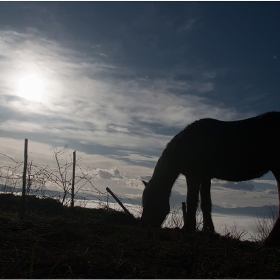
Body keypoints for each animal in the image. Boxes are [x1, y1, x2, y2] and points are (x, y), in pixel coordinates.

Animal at [141, 111, 280, 245]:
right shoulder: (205, 177)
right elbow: (206, 204)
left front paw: (189, 229)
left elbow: (191, 201)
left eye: (149, 200)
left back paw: (269, 241)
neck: (183, 145)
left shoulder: (193, 176)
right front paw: (209, 231)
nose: (144, 225)